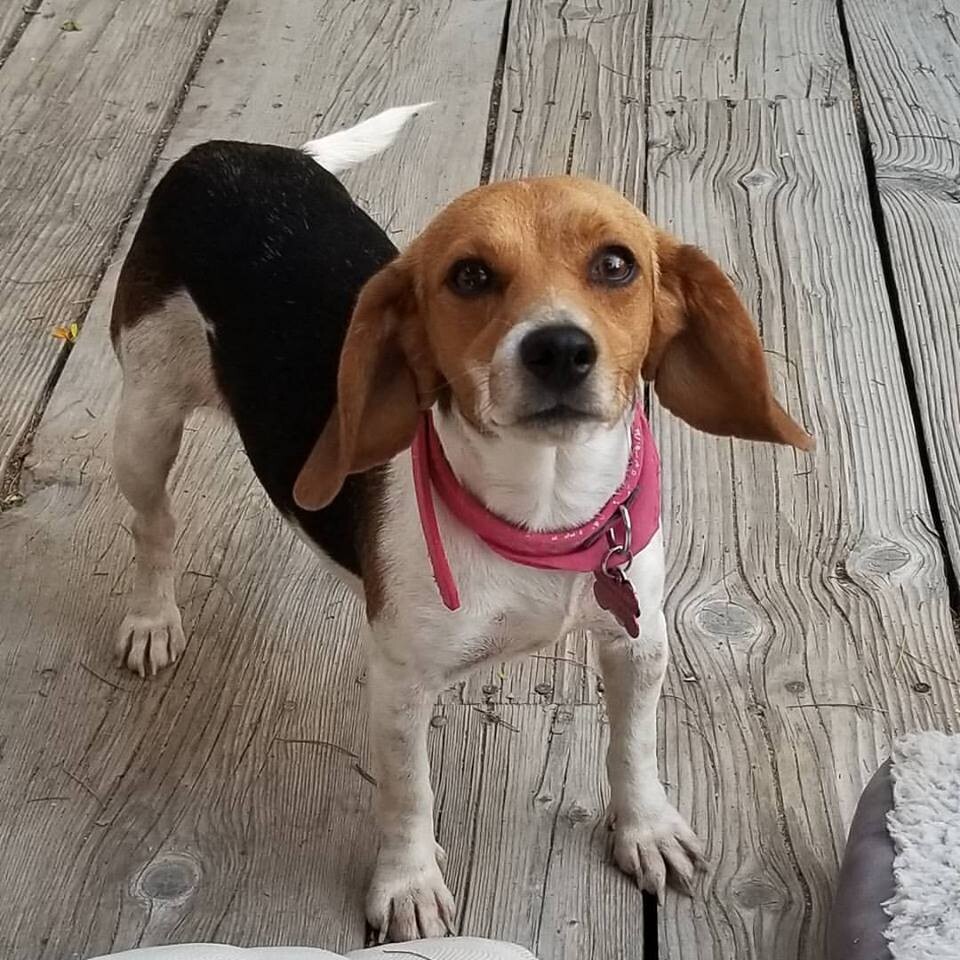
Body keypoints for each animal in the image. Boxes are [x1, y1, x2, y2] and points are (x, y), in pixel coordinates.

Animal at [109, 103, 813, 942]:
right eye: (470, 276)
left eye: (616, 265)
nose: (559, 348)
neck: (545, 512)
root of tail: (225, 153)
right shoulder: (401, 684)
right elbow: (408, 794)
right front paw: (408, 884)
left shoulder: (638, 643)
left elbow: (633, 749)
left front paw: (645, 828)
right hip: (144, 424)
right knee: (154, 527)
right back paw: (151, 618)